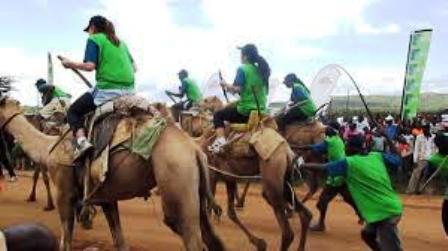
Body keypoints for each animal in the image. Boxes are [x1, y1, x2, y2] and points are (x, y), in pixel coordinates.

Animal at [0, 96, 224, 251]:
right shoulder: (106, 198)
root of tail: (195, 149)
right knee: (211, 237)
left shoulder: (64, 194)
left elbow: (65, 242)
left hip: (177, 177)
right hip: (195, 185)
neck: (47, 148)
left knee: (187, 233)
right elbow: (120, 241)